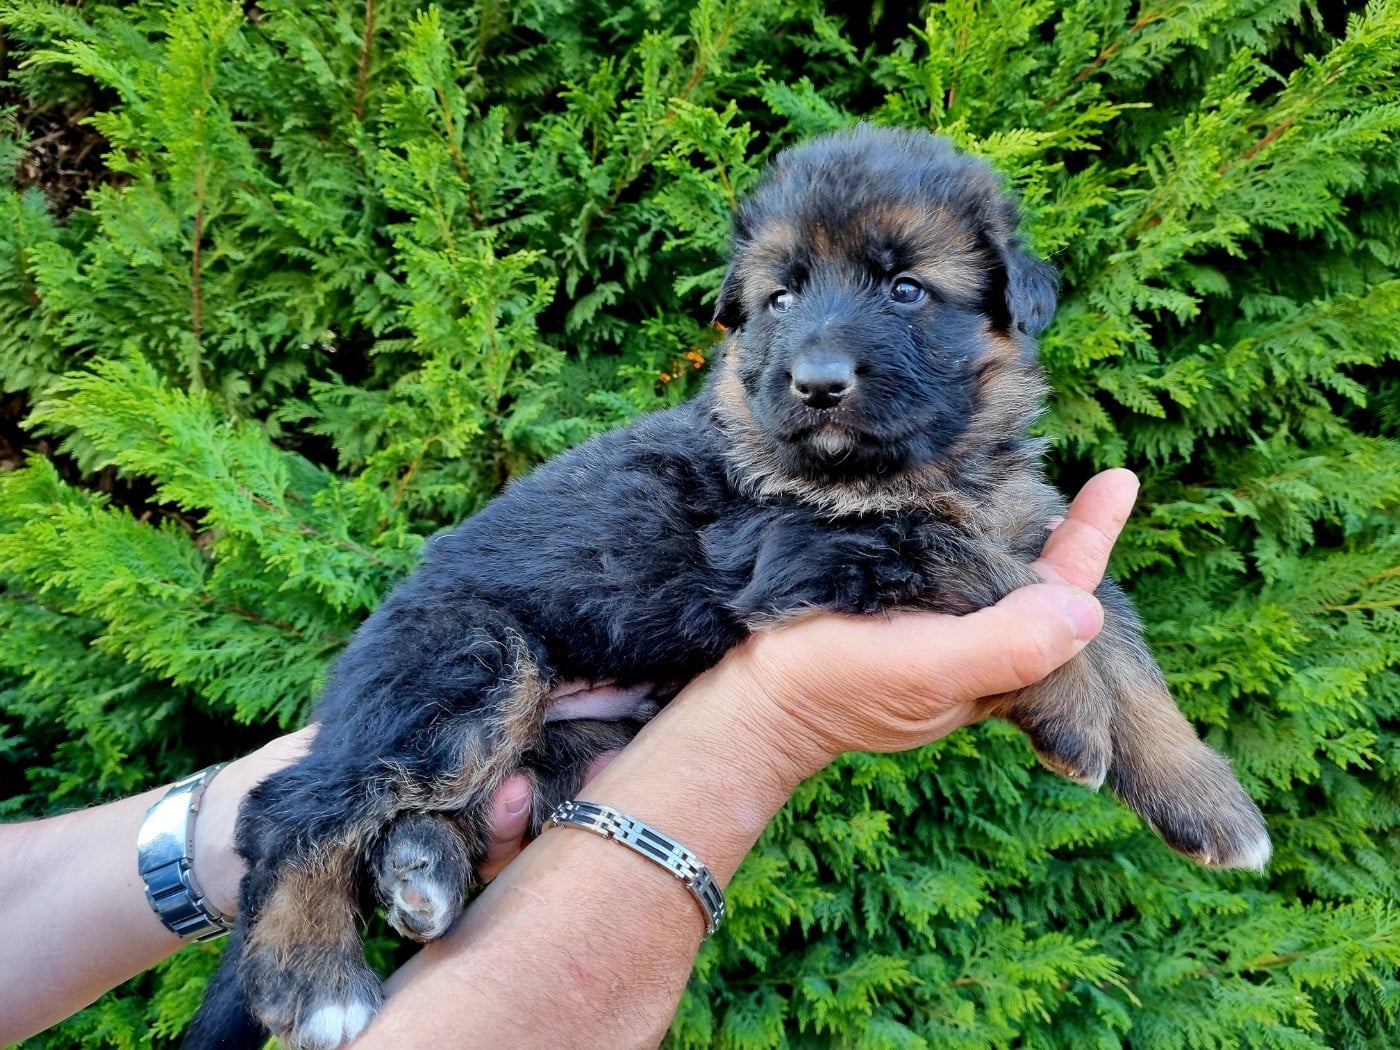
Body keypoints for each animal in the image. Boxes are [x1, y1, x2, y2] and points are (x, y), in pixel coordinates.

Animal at [185, 125, 1270, 1049]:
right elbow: (991, 575)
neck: (913, 468)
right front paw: (1073, 709)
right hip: (471, 665)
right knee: (292, 808)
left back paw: (423, 872)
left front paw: (1209, 804)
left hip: (567, 740)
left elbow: (1116, 638)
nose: (817, 383)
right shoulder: (813, 546)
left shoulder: (1031, 527)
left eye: (906, 289)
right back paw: (312, 980)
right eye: (780, 298)